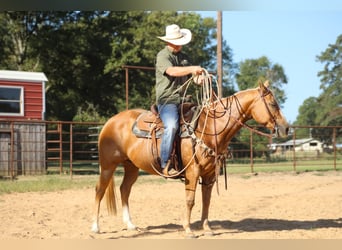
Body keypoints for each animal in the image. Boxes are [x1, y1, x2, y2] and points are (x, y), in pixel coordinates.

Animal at [91, 81, 288, 237]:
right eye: (272, 104)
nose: (286, 128)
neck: (209, 127)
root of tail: (110, 122)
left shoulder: (209, 175)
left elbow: (206, 201)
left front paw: (207, 229)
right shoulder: (192, 172)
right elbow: (190, 200)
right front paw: (188, 229)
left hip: (131, 166)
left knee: (124, 190)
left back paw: (131, 225)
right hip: (108, 166)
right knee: (100, 190)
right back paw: (95, 227)